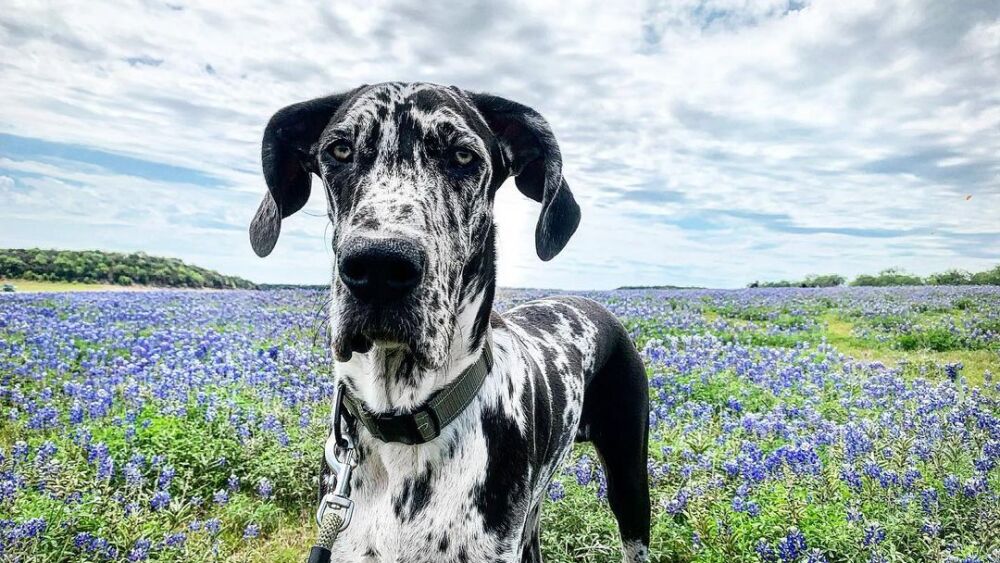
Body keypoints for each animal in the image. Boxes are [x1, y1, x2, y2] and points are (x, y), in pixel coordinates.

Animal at [252, 81, 648, 560]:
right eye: (340, 150)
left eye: (462, 156)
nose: (378, 266)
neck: (403, 422)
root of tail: (592, 304)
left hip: (630, 481)